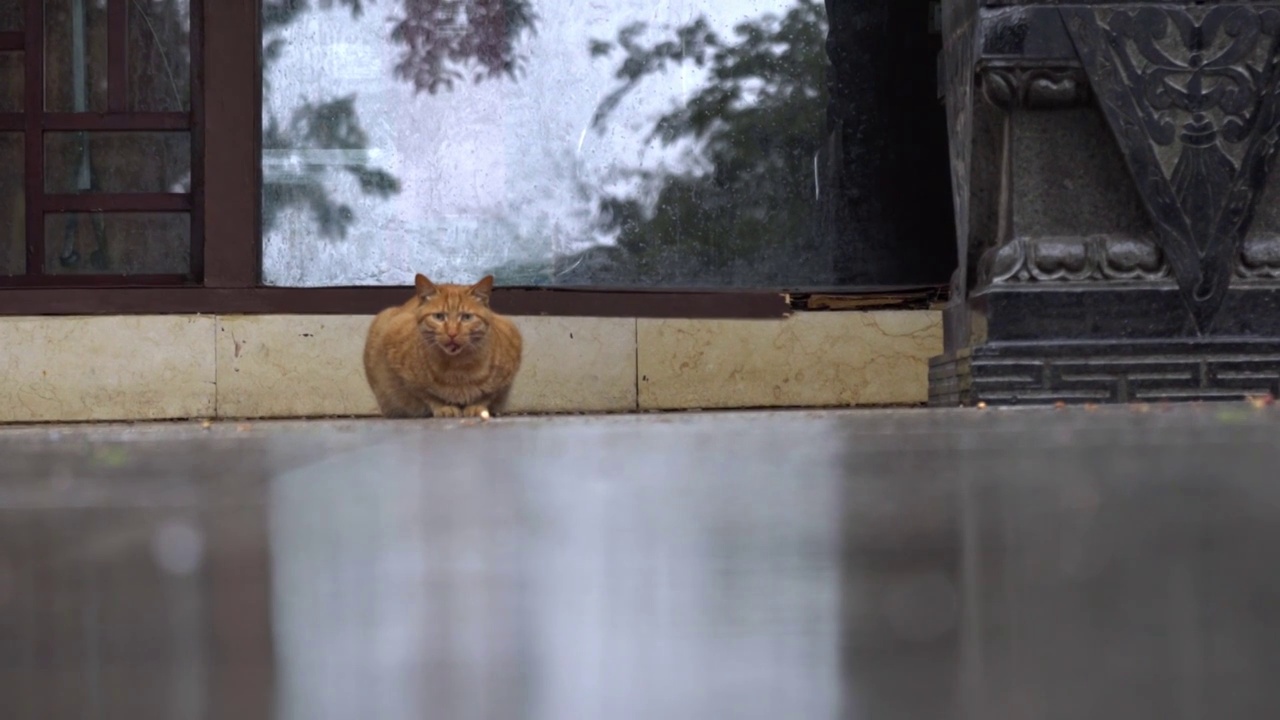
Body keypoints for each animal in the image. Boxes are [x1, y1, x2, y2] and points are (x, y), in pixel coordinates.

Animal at [363, 272, 522, 417]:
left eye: (466, 317)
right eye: (439, 316)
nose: (452, 333)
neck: (458, 368)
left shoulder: (508, 366)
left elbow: (488, 395)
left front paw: (477, 407)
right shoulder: (400, 363)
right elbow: (426, 394)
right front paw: (444, 407)